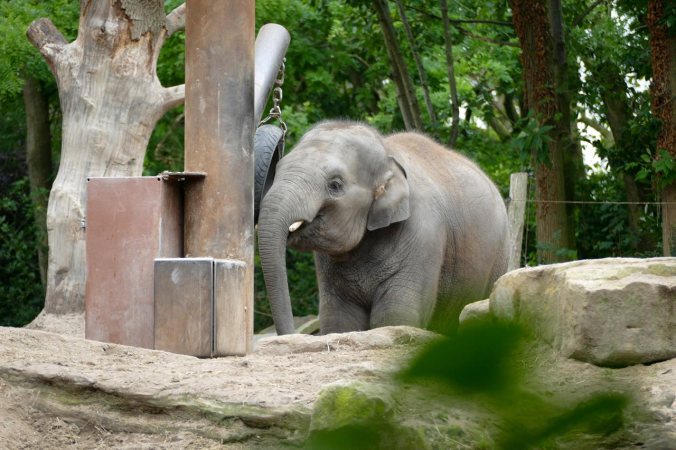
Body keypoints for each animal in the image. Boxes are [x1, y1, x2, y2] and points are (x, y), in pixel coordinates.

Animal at [257, 121, 509, 335]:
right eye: (276, 170)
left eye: (335, 185)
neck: (387, 152)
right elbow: (340, 320)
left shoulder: (423, 235)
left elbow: (395, 316)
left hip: (498, 256)